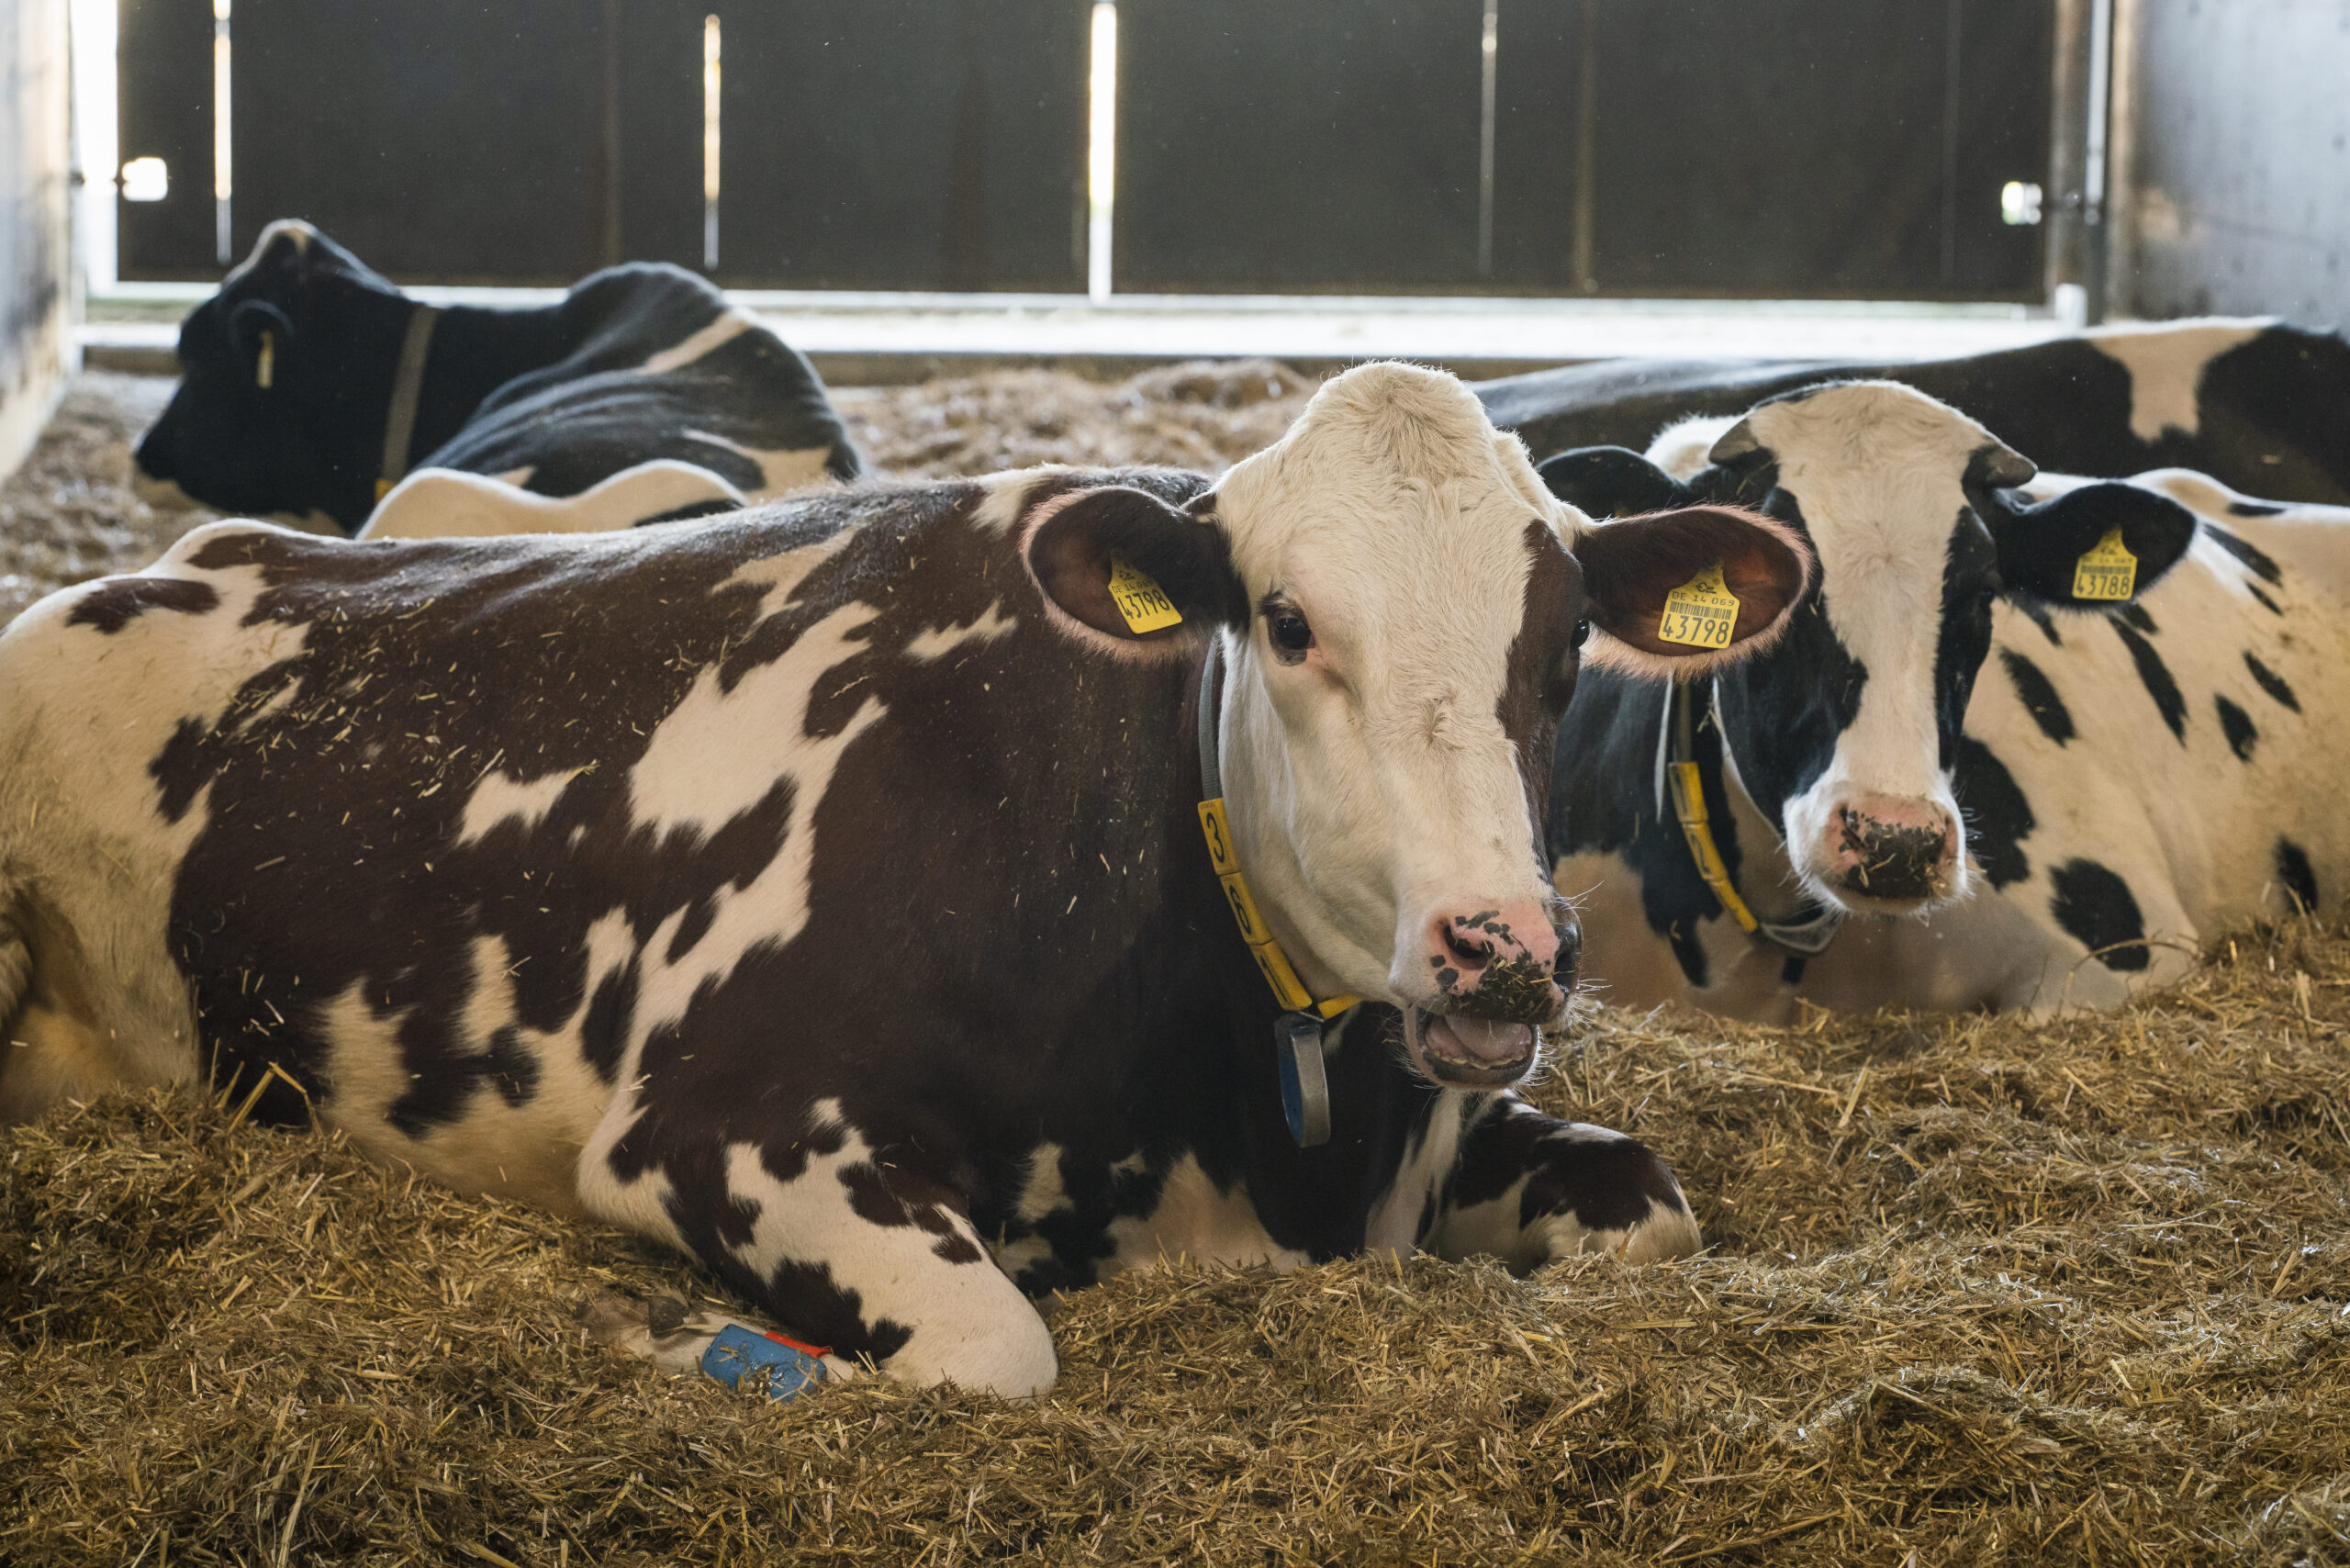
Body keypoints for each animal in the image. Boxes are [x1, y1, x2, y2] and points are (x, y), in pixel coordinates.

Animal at [0, 363, 1811, 1397]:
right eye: (1290, 622)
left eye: (1565, 641)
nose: (1499, 945)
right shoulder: (721, 1124)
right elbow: (997, 1347)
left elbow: (1650, 1203)